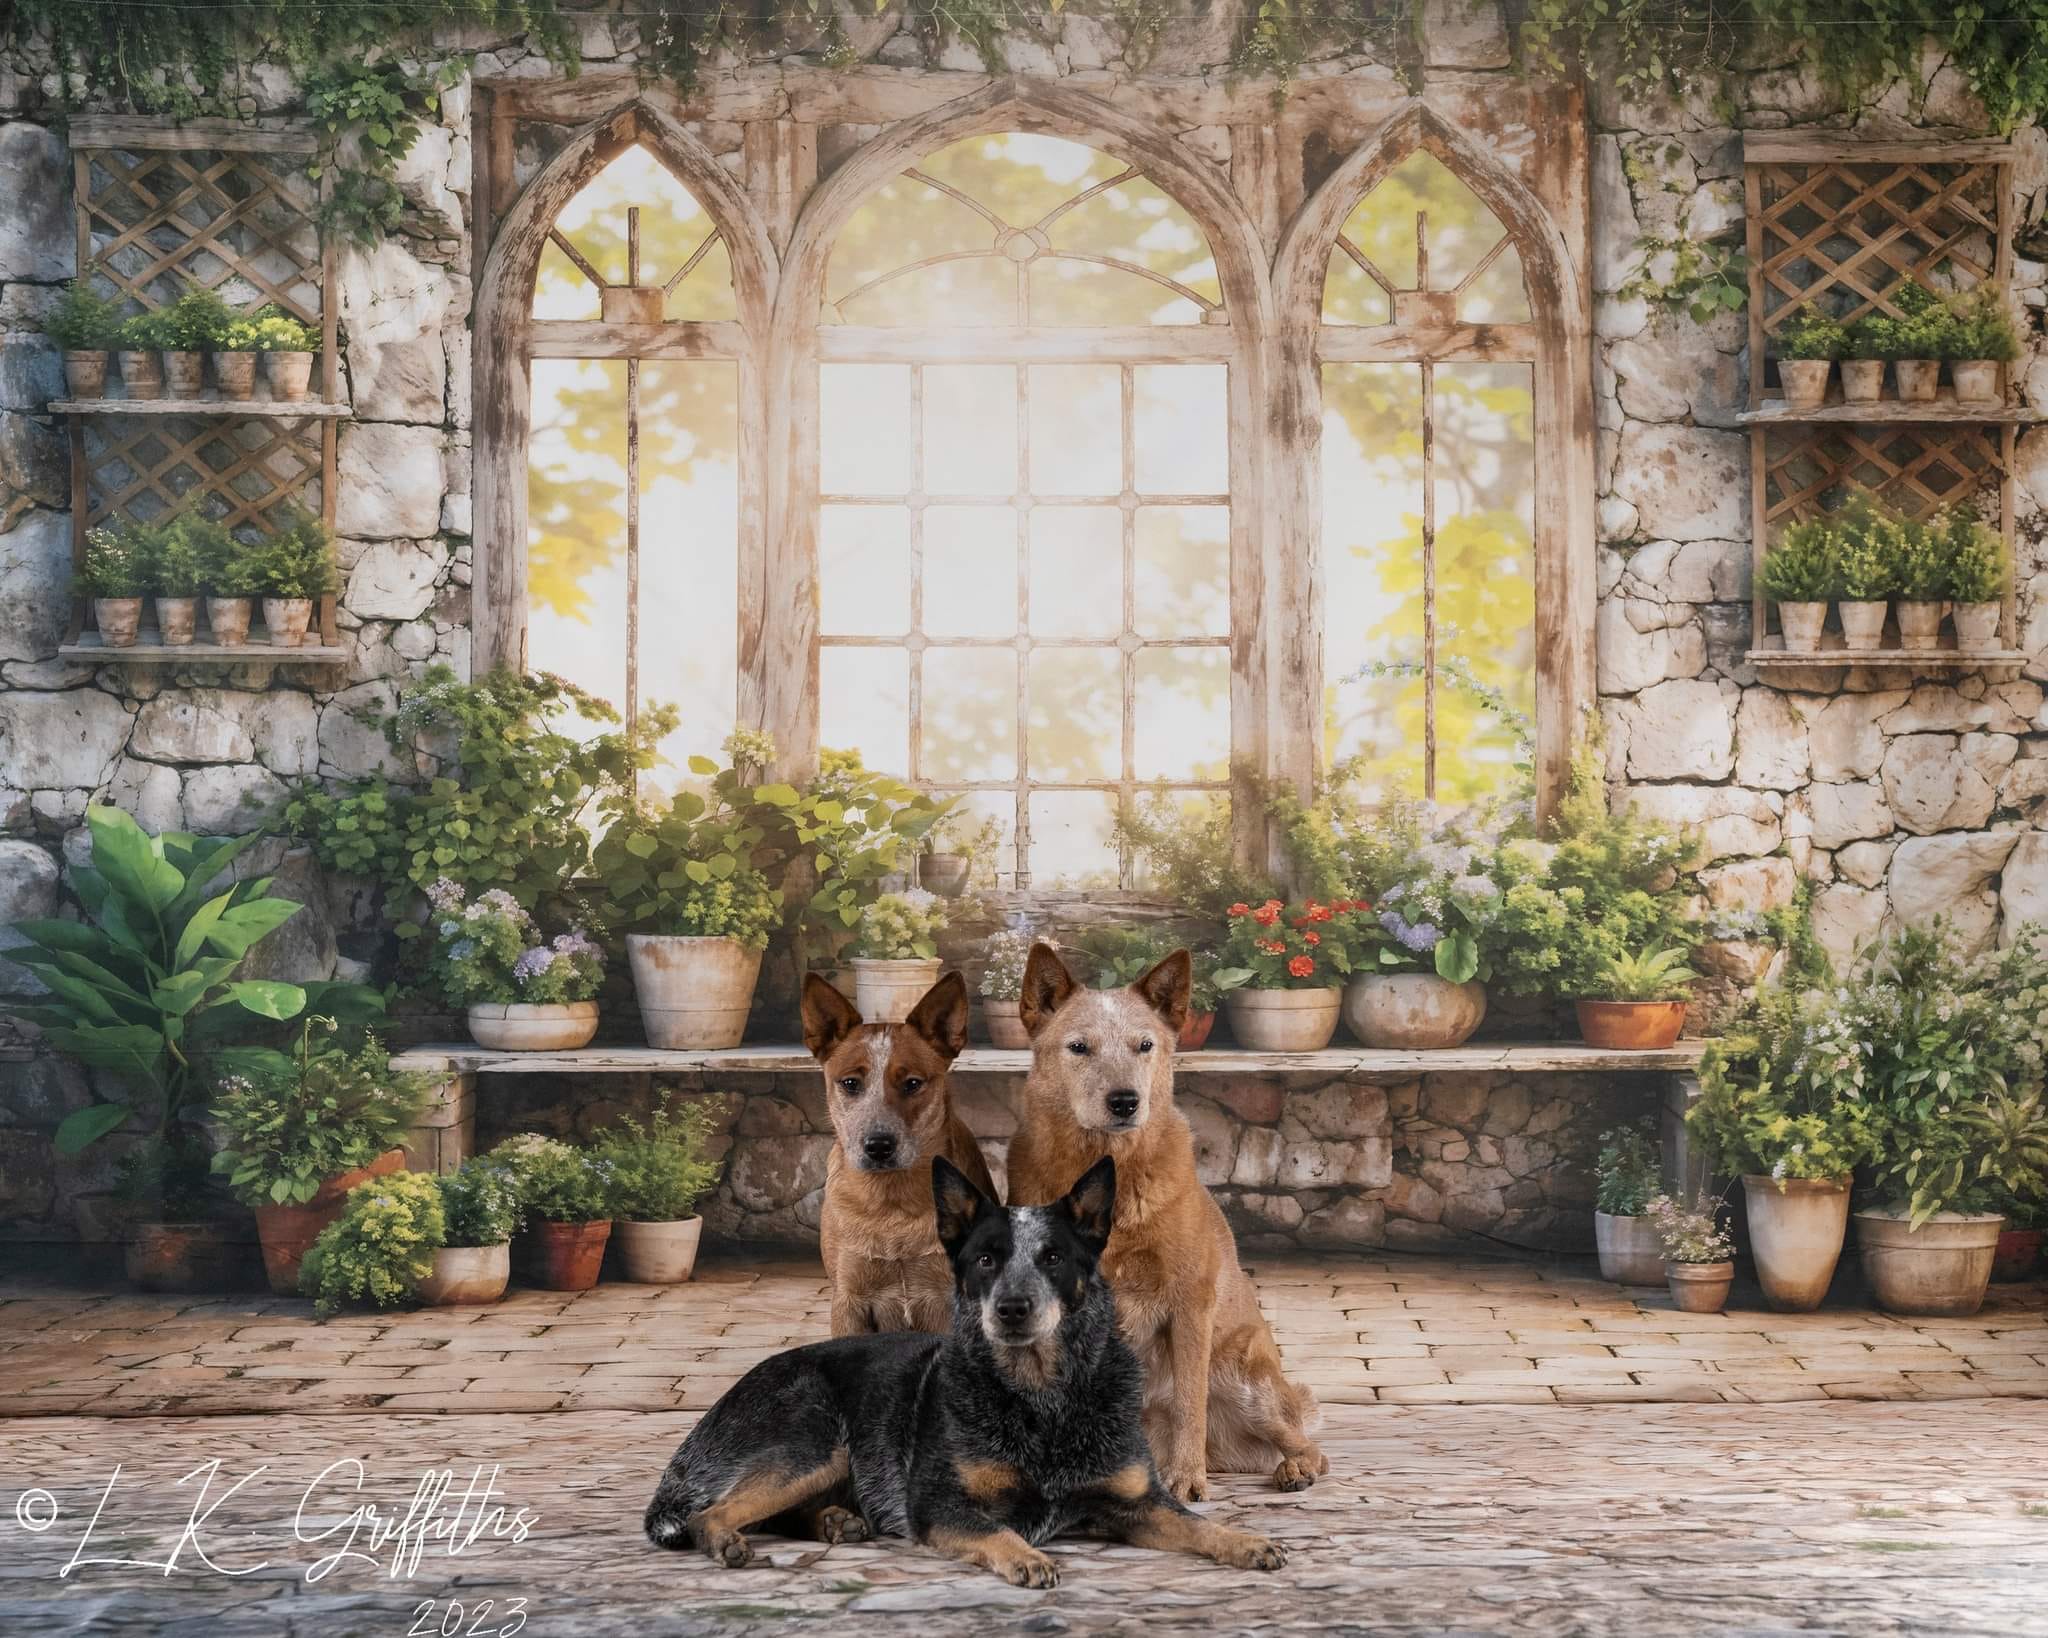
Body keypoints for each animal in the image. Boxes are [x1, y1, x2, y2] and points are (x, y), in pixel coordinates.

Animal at [643, 1154, 1277, 1588]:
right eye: (985, 1259)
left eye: (1053, 1257)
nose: (1013, 1307)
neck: (1042, 1401)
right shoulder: (938, 1504)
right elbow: (995, 1530)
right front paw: (1029, 1557)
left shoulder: (1138, 1501)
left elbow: (1197, 1525)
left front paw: (1246, 1541)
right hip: (815, 1440)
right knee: (708, 1514)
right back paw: (733, 1541)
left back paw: (836, 1523)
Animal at [1003, 945, 1327, 1498]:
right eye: (1079, 1047)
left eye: (1145, 1045)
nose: (1125, 1100)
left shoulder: (1190, 1303)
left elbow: (1188, 1402)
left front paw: (1187, 1480)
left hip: (1244, 1378)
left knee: (1304, 1443)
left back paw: (1291, 1468)